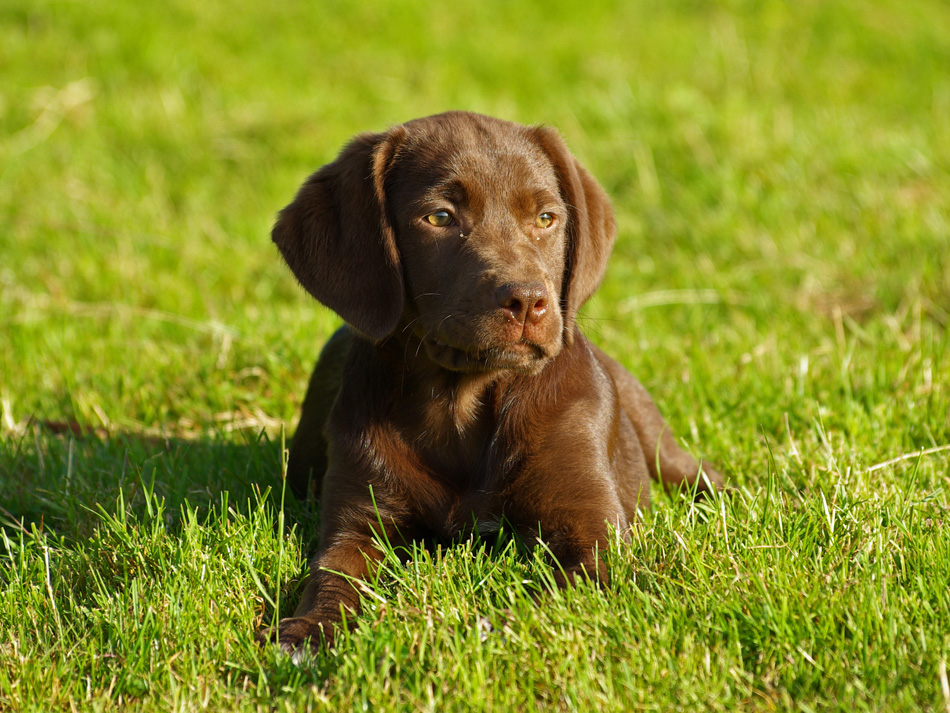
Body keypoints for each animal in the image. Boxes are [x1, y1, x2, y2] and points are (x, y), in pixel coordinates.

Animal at [268, 110, 720, 652]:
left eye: (546, 218)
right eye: (440, 217)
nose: (528, 300)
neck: (461, 402)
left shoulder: (593, 530)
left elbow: (555, 597)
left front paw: (491, 629)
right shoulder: (357, 519)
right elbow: (332, 574)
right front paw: (309, 631)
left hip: (656, 441)